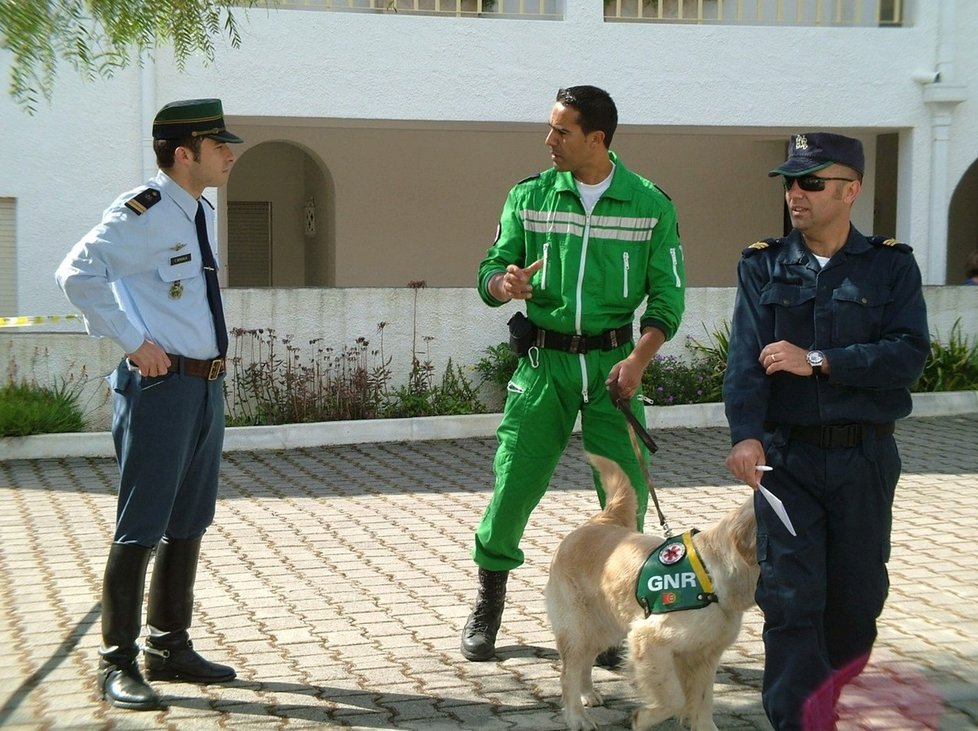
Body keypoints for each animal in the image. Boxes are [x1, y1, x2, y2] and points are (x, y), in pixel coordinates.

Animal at [544, 454, 760, 728]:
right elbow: (674, 698)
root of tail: (600, 520)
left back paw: (588, 693)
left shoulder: (706, 654)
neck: (711, 575)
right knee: (568, 672)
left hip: (605, 628)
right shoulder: (649, 639)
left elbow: (703, 703)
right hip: (577, 627)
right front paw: (643, 718)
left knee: (585, 661)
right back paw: (577, 717)